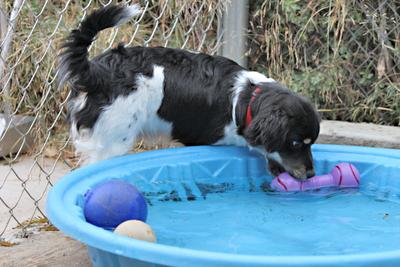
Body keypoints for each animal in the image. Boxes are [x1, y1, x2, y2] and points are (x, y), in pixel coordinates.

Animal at [59, 4, 320, 180]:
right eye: (296, 143)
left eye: (310, 143)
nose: (311, 174)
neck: (247, 99)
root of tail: (97, 71)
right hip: (113, 142)